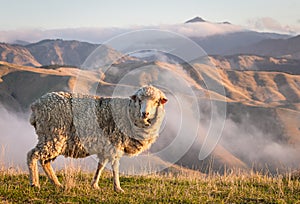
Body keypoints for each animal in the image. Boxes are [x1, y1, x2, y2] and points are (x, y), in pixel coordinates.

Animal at [27, 85, 168, 192]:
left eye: (156, 102)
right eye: (139, 100)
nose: (145, 113)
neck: (129, 113)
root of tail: (36, 106)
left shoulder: (106, 147)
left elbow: (101, 166)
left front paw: (94, 184)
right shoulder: (115, 144)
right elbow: (115, 166)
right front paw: (118, 188)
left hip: (52, 139)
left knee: (45, 161)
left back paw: (57, 183)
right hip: (52, 136)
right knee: (32, 155)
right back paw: (35, 183)